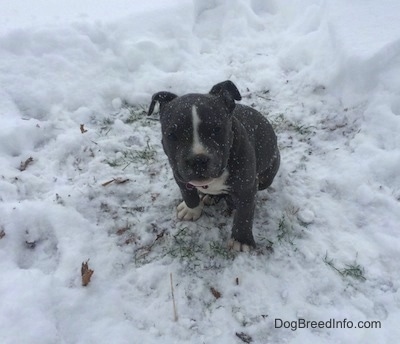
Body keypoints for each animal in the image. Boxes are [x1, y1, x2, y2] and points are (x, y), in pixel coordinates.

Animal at [148, 81, 280, 253]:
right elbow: (188, 194)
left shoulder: (247, 187)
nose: (198, 160)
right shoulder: (178, 174)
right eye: (172, 135)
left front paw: (241, 239)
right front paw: (191, 209)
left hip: (266, 176)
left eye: (217, 129)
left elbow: (244, 213)